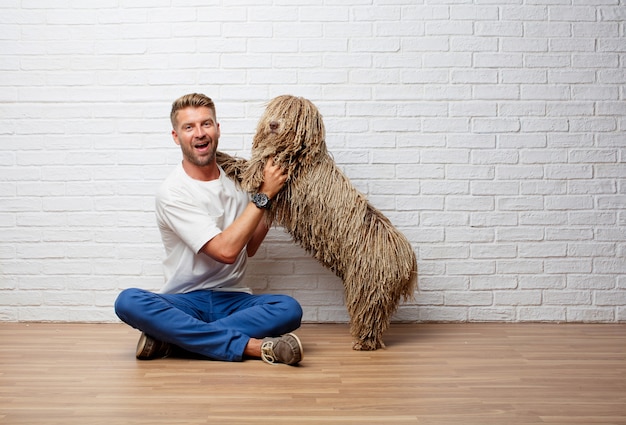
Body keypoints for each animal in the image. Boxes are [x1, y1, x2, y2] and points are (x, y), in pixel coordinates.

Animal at [217, 96, 416, 352]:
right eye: (275, 111)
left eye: (291, 115)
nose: (273, 124)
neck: (300, 154)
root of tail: (406, 259)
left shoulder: (279, 173)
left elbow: (249, 168)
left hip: (368, 286)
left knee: (369, 316)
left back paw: (363, 342)